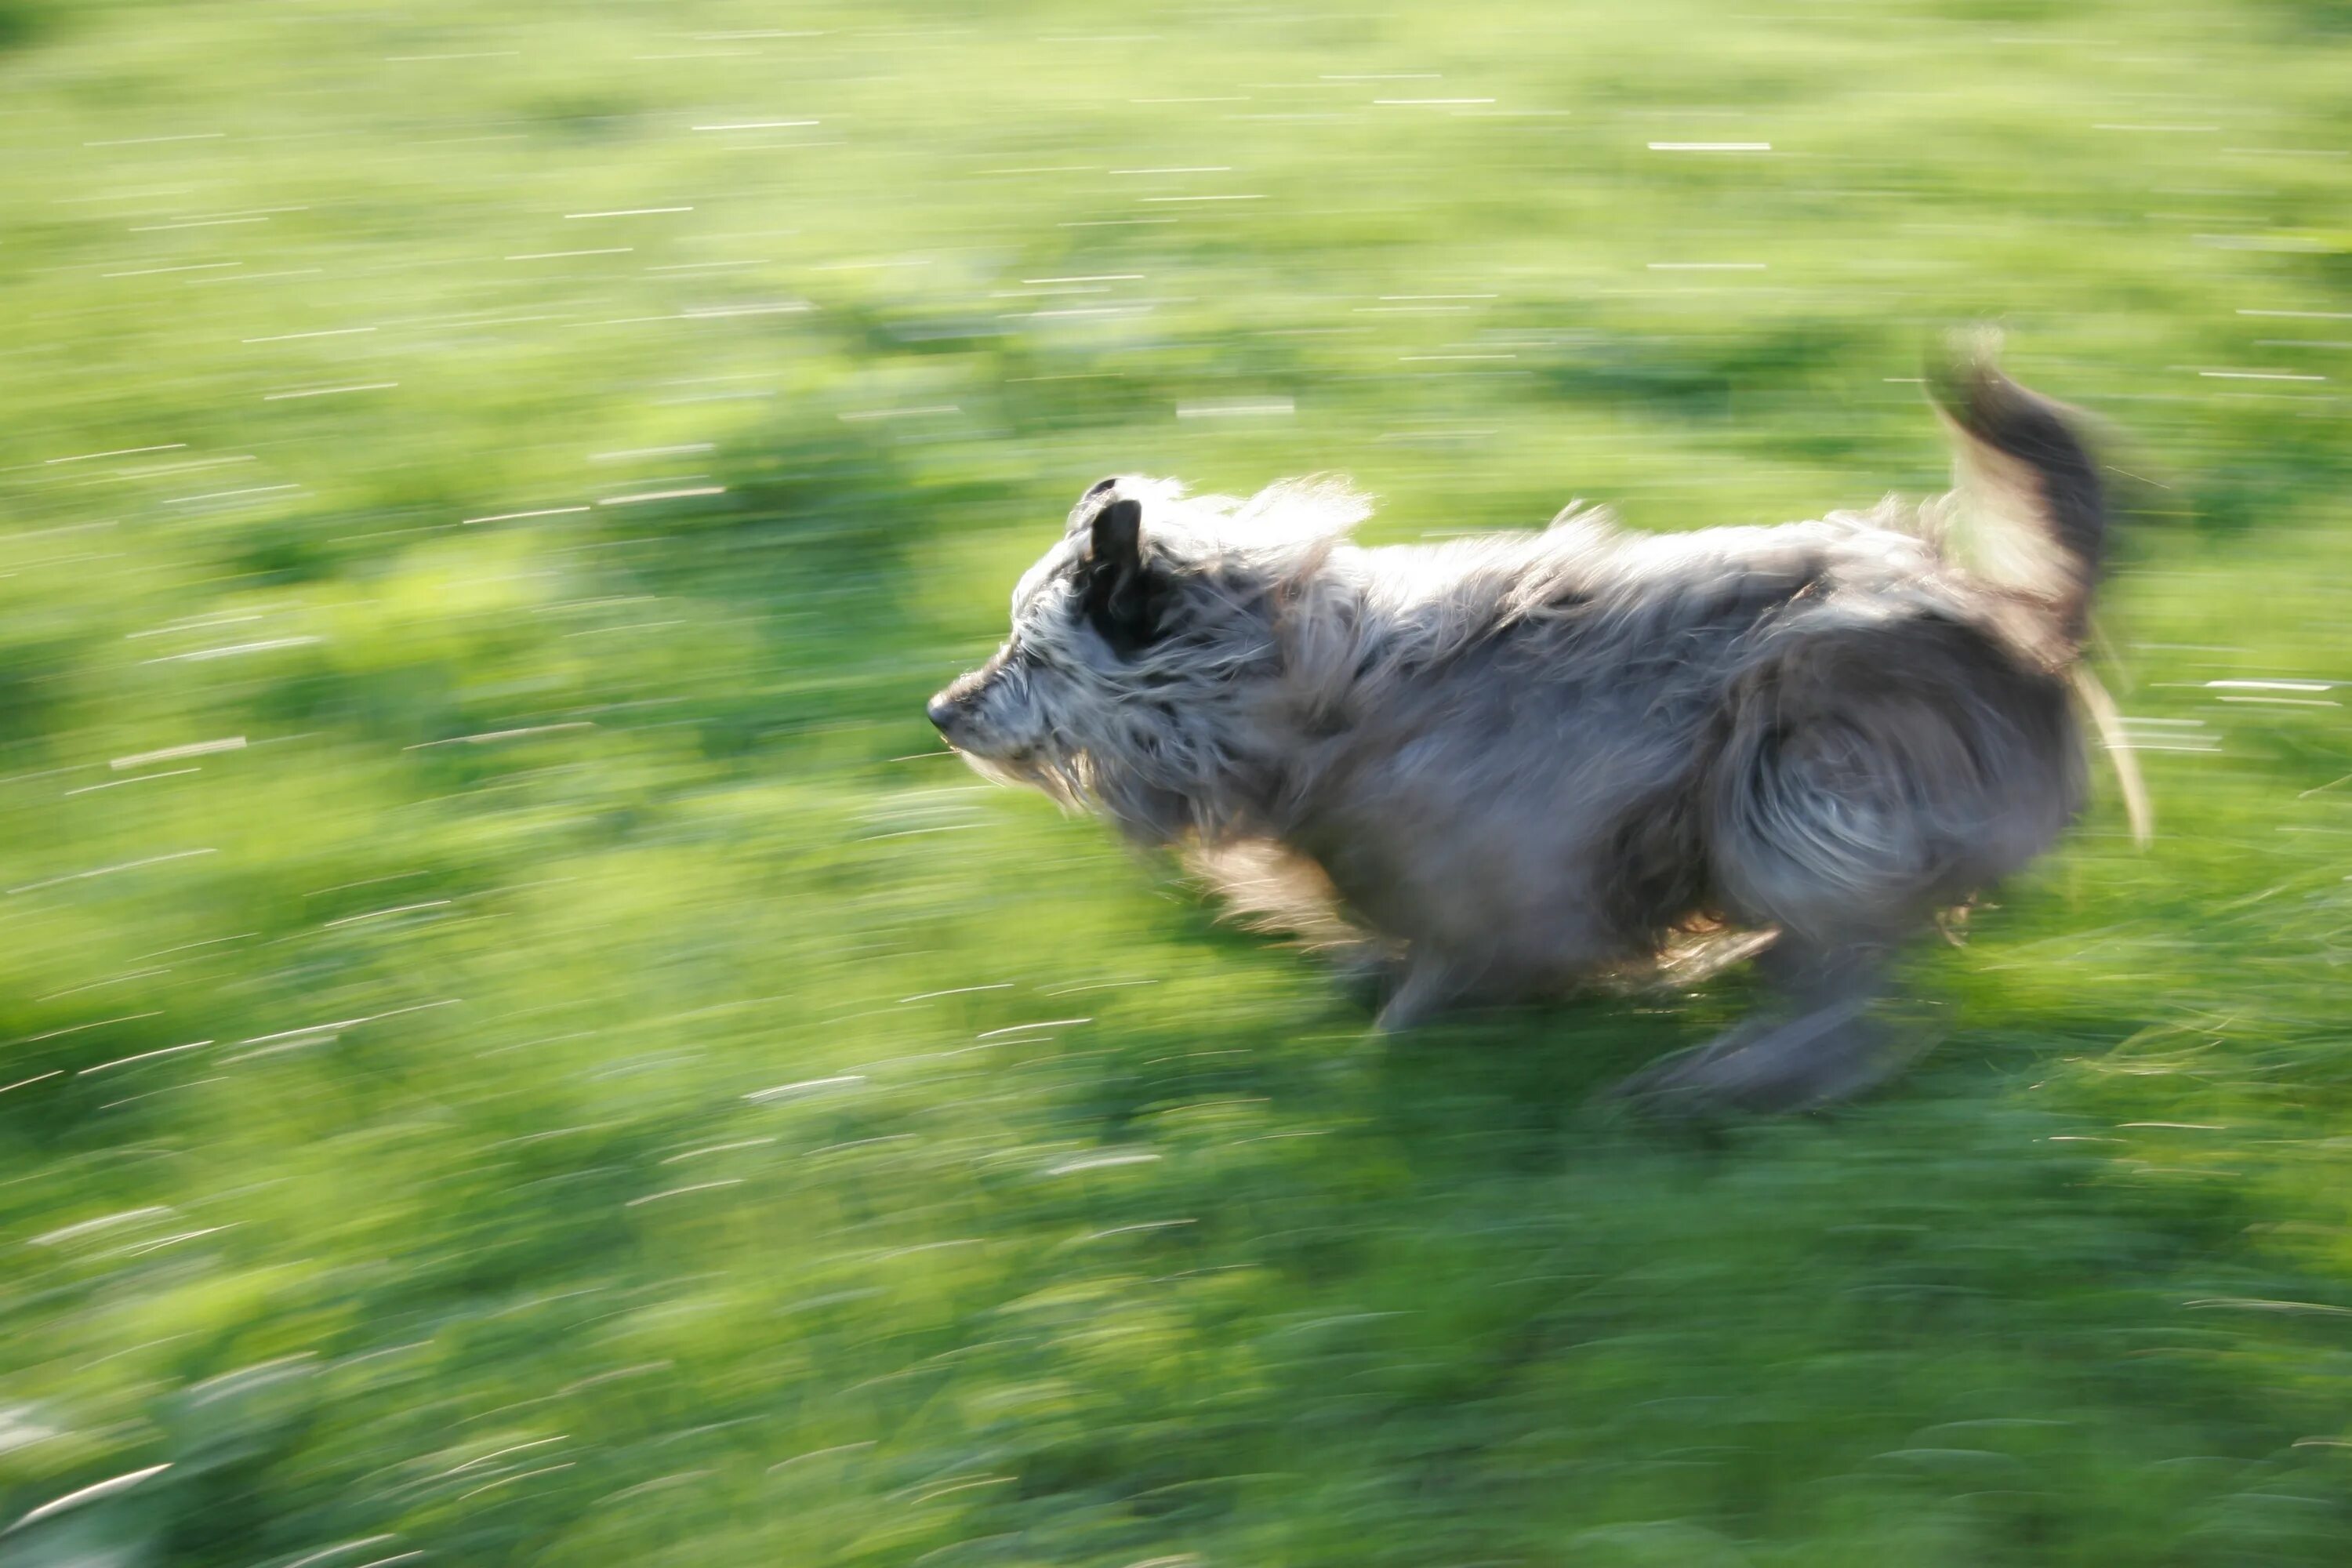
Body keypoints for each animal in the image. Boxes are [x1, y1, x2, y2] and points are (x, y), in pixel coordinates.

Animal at [927, 352, 2126, 1114]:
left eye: (1028, 653)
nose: (941, 711)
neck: (1313, 692)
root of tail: (2028, 633)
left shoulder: (1509, 877)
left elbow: (1435, 983)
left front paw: (1389, 1038)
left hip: (1801, 776)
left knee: (1853, 1005)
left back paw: (1724, 1081)